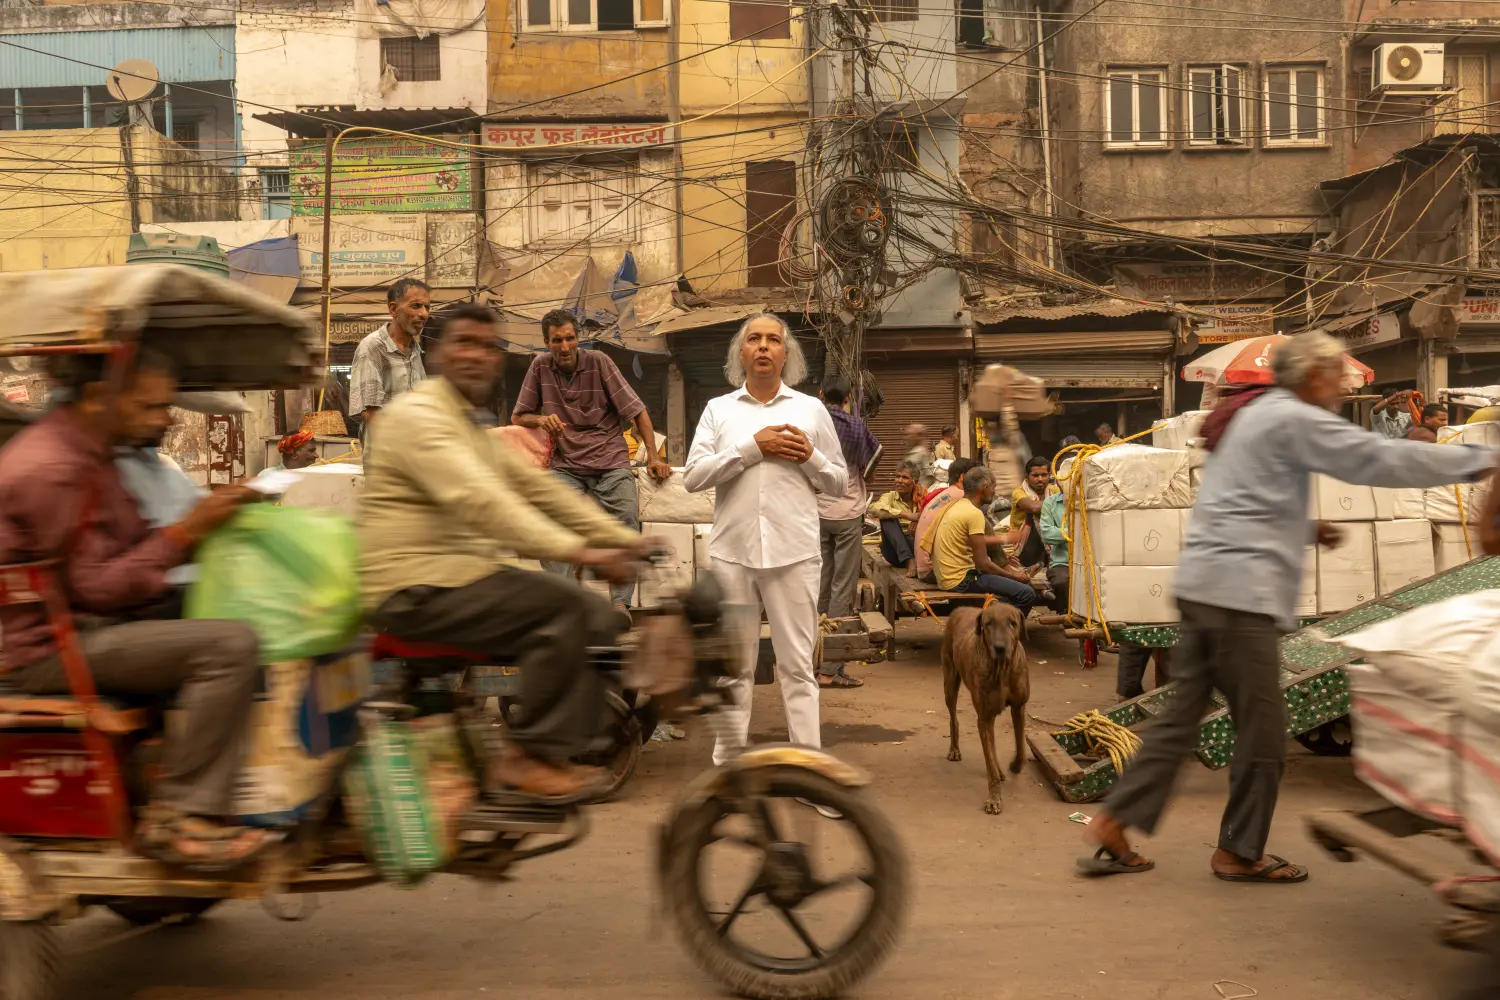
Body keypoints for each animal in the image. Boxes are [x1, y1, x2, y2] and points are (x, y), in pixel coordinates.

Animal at [942, 602, 1026, 815]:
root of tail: (961, 608)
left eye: (1012, 623)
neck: (1001, 669)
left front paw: (1015, 765)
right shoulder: (984, 717)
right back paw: (954, 749)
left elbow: (1021, 746)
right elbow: (989, 763)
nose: (1000, 647)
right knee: (953, 716)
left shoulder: (1019, 706)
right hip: (950, 682)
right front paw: (994, 799)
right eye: (989, 623)